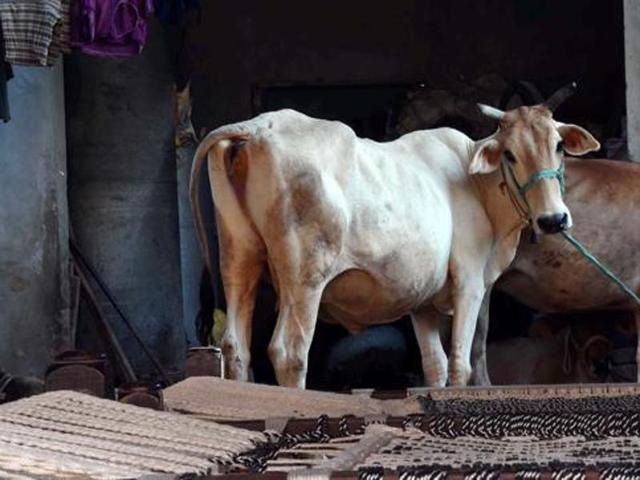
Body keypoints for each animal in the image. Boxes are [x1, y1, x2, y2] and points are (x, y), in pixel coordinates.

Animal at [190, 95, 599, 388]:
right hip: (305, 277)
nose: (553, 219)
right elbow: (460, 364)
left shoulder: (423, 301)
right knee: (289, 352)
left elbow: (435, 366)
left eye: (558, 146)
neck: (475, 183)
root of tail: (260, 126)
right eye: (510, 154)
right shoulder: (469, 282)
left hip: (239, 258)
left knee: (236, 348)